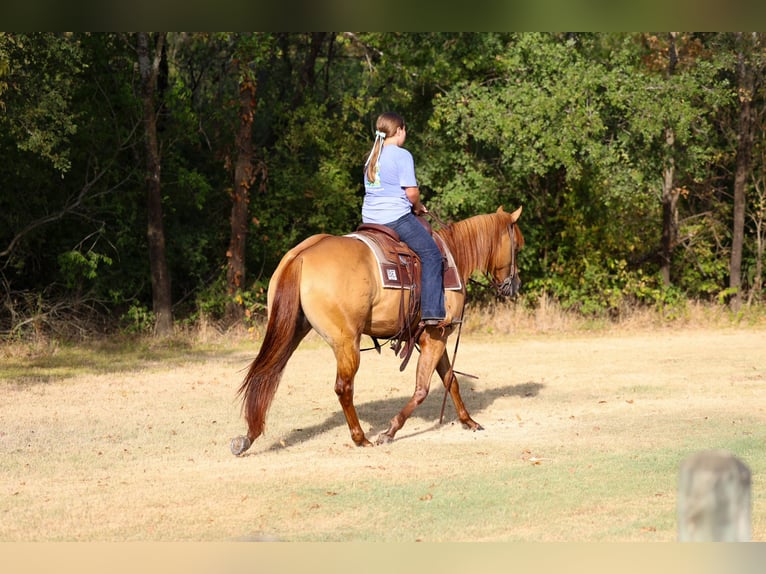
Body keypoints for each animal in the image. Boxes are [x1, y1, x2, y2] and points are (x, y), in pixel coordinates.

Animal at [230, 206, 524, 455]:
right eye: (517, 248)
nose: (514, 285)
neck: (452, 257)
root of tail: (302, 255)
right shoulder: (436, 336)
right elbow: (422, 388)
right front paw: (390, 430)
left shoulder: (433, 339)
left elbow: (451, 380)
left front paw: (468, 420)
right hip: (346, 342)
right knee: (343, 387)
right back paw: (361, 438)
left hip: (291, 330)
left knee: (265, 375)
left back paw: (247, 437)